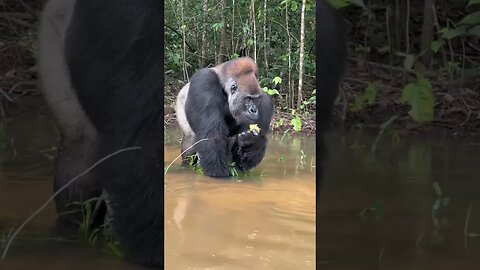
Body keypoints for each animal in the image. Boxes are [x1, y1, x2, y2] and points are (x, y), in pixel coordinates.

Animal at [37, 0, 344, 268]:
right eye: (247, 100)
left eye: (255, 100)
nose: (253, 110)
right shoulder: (203, 83)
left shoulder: (266, 101)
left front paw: (251, 144)